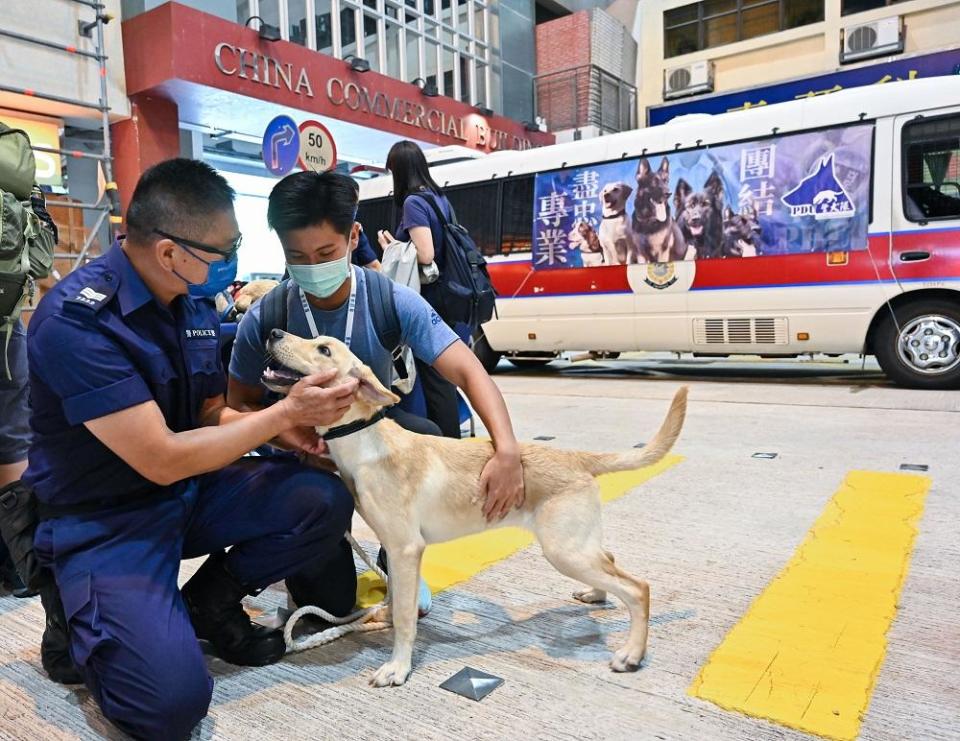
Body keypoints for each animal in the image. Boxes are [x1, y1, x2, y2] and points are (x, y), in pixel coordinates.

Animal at [260, 332, 684, 684]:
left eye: (324, 349)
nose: (273, 332)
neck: (363, 441)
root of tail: (576, 456)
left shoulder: (405, 548)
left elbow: (406, 618)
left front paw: (398, 667)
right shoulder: (395, 551)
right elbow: (396, 599)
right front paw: (385, 618)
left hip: (564, 550)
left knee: (638, 588)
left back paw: (631, 653)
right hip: (576, 545)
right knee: (610, 560)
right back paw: (596, 596)